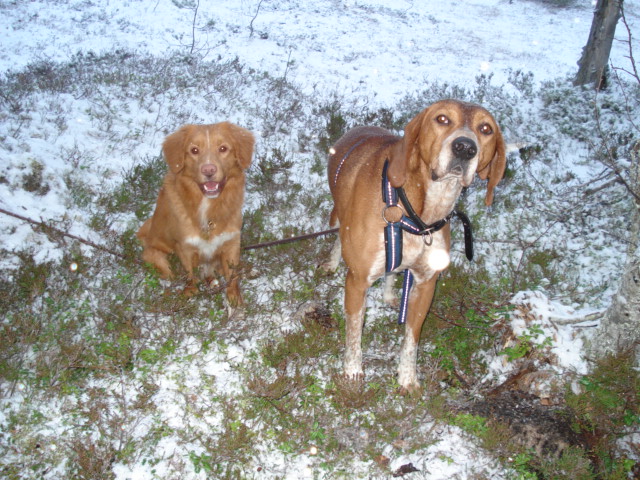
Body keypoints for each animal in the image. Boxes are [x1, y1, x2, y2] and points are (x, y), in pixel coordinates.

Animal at [324, 99, 504, 392]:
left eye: (486, 128)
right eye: (442, 119)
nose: (465, 147)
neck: (418, 213)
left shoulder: (425, 285)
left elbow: (411, 339)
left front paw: (407, 379)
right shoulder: (357, 281)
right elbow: (353, 335)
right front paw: (352, 372)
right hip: (339, 213)